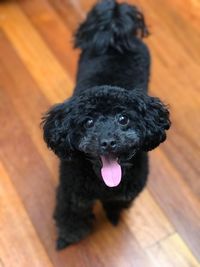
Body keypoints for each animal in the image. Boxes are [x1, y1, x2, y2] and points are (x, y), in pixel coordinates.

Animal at [42, 0, 170, 251]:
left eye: (123, 119)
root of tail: (114, 29)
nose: (108, 142)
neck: (104, 183)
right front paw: (68, 238)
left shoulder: (126, 193)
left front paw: (113, 216)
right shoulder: (72, 195)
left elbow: (116, 204)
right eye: (88, 122)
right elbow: (71, 219)